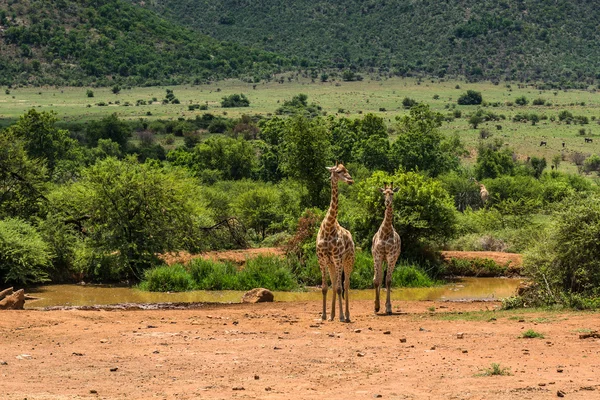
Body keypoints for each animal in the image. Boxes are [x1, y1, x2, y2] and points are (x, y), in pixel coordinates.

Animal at [370, 182, 404, 316]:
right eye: (384, 193)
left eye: (393, 193)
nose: (387, 202)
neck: (385, 232)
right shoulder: (377, 255)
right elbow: (376, 280)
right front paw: (376, 307)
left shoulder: (391, 257)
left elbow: (388, 281)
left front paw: (388, 307)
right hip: (380, 259)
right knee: (379, 278)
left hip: (390, 259)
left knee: (385, 279)